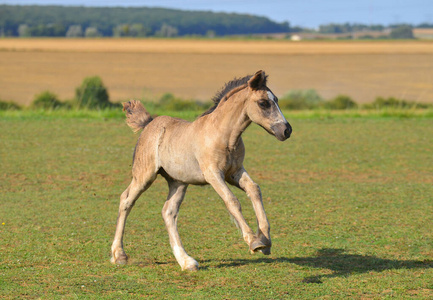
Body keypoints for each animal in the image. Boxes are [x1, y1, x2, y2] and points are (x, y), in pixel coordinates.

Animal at [111, 71, 292, 272]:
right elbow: (232, 201)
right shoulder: (213, 174)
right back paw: (119, 255)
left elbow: (254, 189)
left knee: (168, 212)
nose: (286, 130)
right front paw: (254, 241)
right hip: (144, 175)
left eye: (276, 99)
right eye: (263, 103)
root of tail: (149, 123)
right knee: (126, 200)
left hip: (178, 182)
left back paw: (186, 261)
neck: (224, 136)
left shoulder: (235, 172)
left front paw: (265, 240)